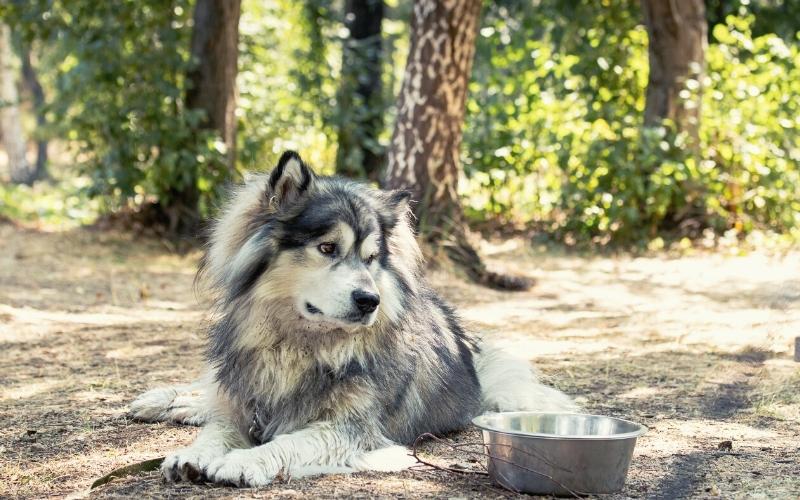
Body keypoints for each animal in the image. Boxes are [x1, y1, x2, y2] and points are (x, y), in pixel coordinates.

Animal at [130, 150, 576, 486]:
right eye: (327, 248)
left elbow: (287, 442)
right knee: (208, 391)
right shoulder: (245, 400)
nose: (369, 300)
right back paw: (164, 400)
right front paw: (194, 454)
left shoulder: (355, 432)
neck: (298, 345)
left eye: (371, 258)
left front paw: (243, 461)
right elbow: (218, 428)